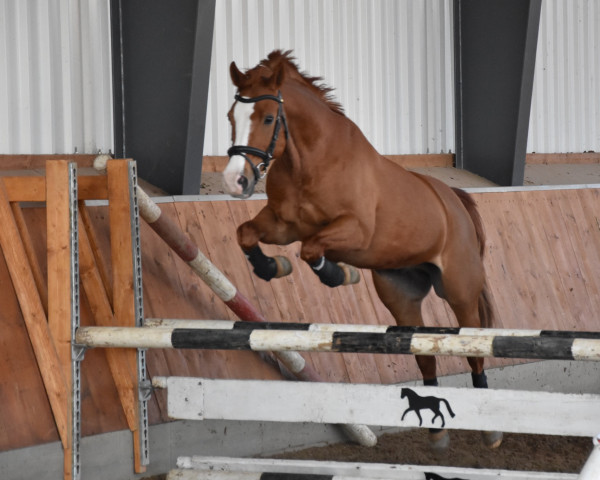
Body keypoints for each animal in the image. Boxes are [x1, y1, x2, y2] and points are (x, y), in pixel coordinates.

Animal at [220, 49, 502, 450]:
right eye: (232, 117)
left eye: (269, 118)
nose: (235, 181)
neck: (311, 161)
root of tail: (454, 200)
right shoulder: (282, 225)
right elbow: (246, 233)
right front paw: (271, 267)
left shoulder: (355, 232)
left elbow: (312, 249)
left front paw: (340, 273)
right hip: (402, 294)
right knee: (423, 355)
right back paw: (437, 435)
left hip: (460, 291)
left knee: (474, 349)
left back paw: (491, 431)